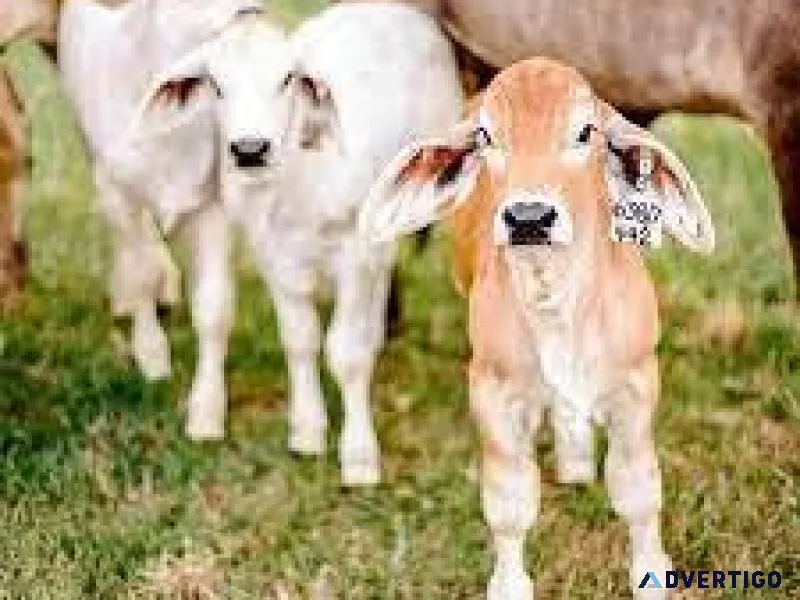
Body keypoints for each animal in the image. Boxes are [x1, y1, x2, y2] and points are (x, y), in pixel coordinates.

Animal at [359, 57, 715, 598]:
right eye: (486, 136)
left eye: (585, 132)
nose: (529, 217)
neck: (557, 306)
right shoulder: (491, 391)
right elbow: (509, 503)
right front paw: (509, 585)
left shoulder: (637, 385)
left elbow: (638, 490)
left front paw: (650, 576)